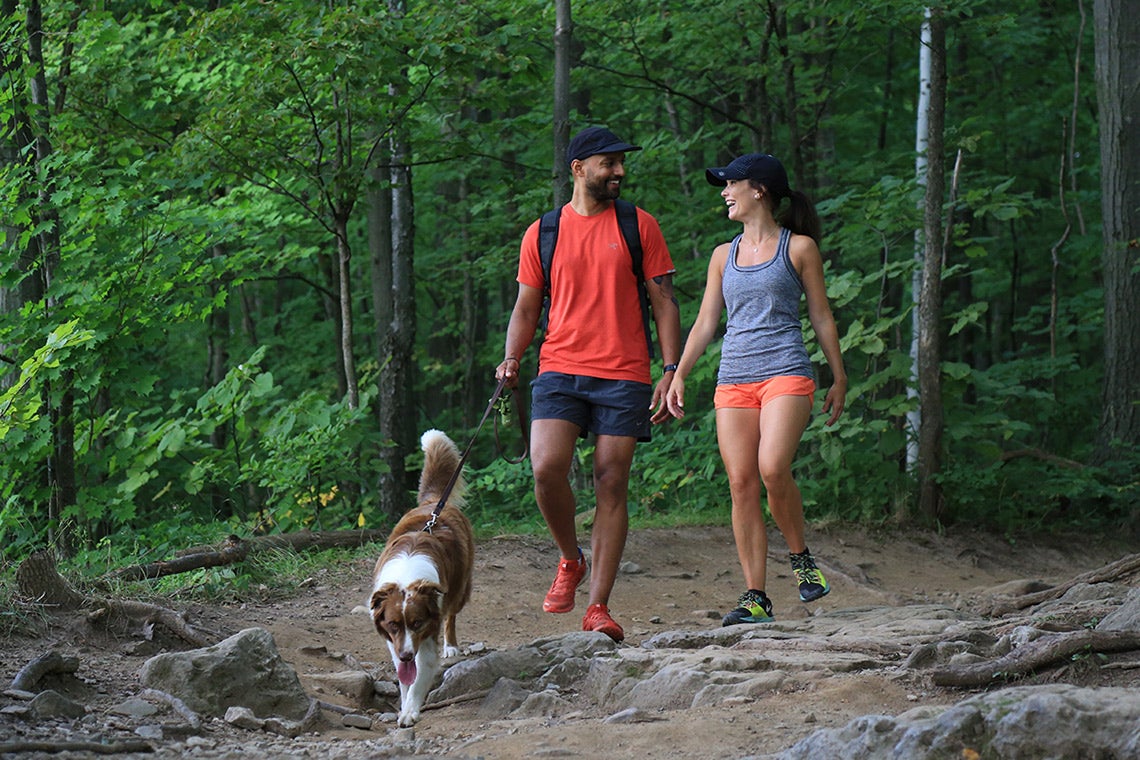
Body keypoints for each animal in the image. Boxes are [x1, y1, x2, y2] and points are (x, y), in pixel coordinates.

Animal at [367, 430, 469, 729]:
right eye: (393, 624)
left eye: (417, 623)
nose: (406, 655)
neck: (406, 578)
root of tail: (432, 503)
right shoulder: (394, 641)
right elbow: (404, 678)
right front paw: (404, 703)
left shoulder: (426, 635)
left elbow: (420, 674)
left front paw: (410, 711)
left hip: (461, 589)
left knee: (451, 615)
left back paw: (451, 647)